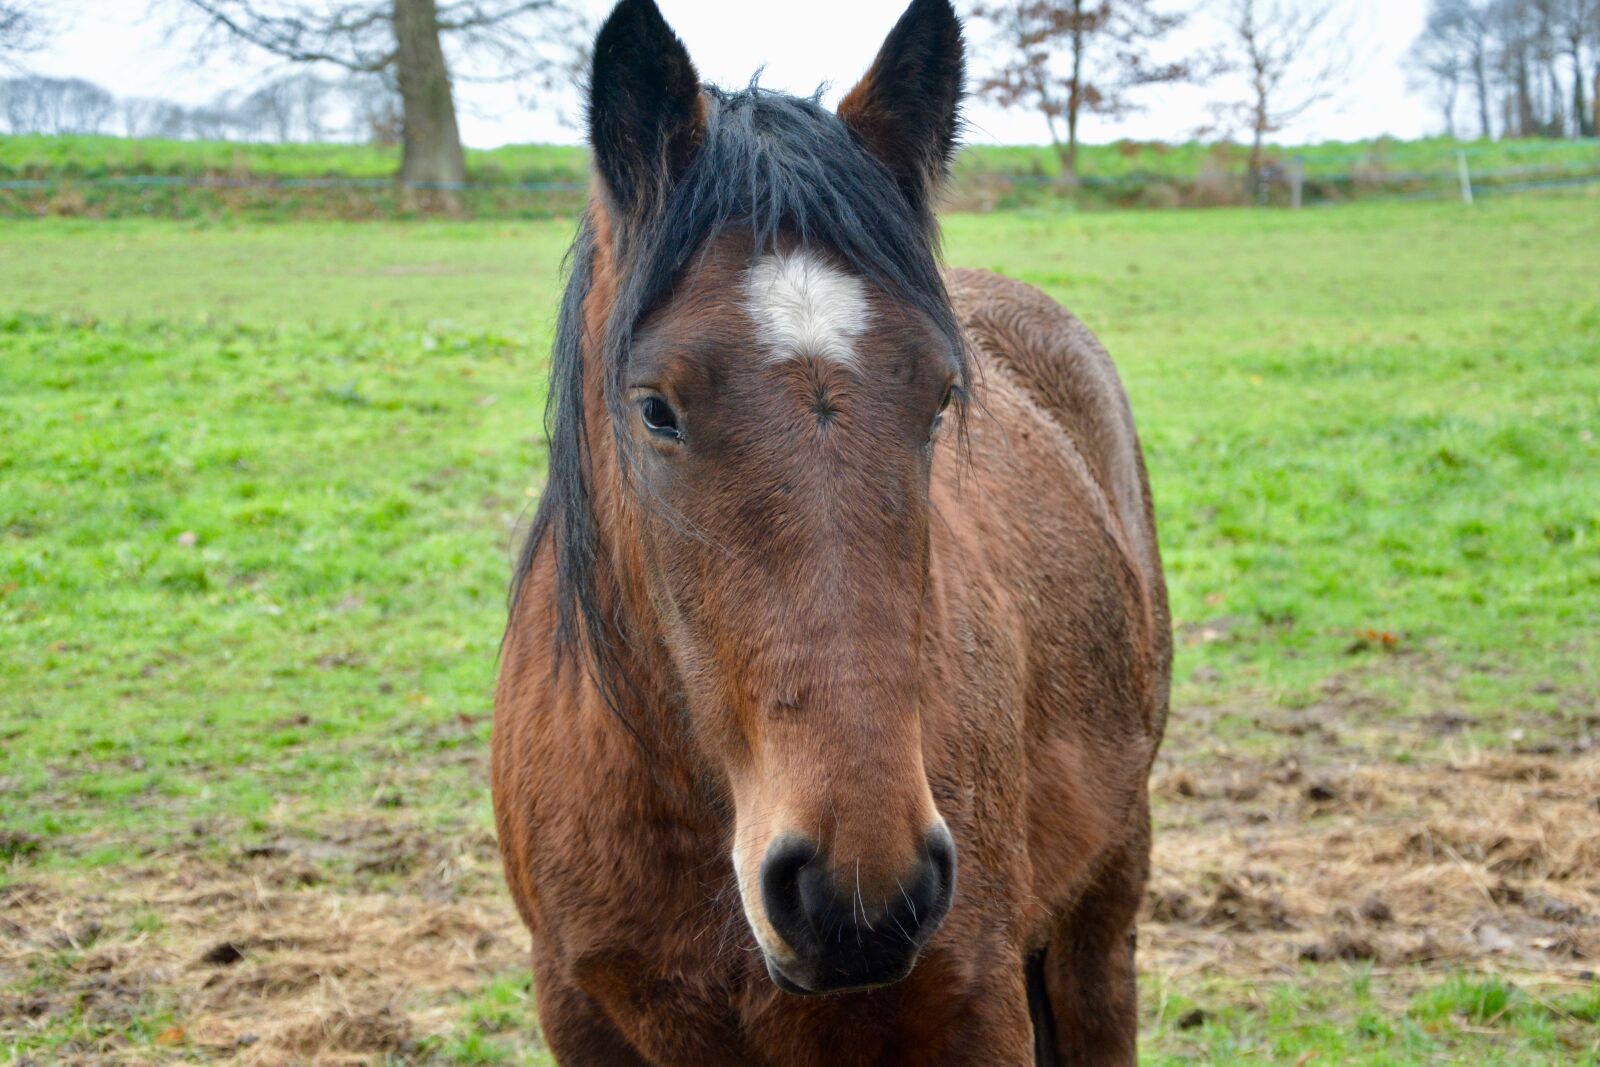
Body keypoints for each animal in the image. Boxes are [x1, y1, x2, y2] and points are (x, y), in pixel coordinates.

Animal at [491, 0, 1171, 1063]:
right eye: (655, 409)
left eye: (939, 397)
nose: (857, 890)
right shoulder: (578, 1010)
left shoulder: (979, 1009)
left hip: (1103, 911)